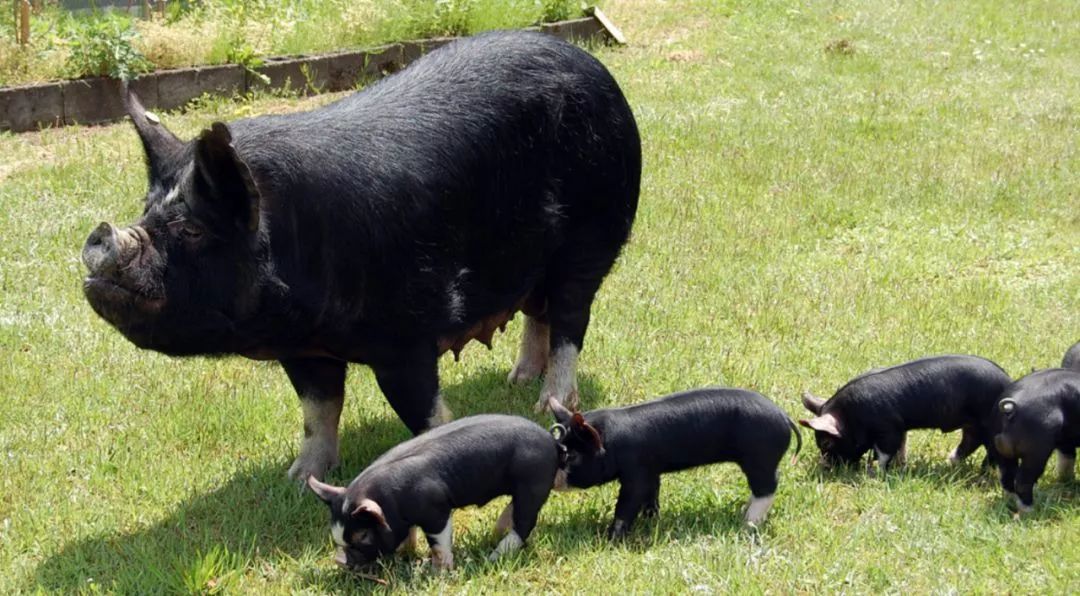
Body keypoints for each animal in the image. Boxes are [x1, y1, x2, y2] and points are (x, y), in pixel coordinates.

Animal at [86, 31, 639, 479]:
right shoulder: (303, 350)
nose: (100, 237)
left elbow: (422, 411)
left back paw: (547, 402)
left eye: (193, 229)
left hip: (590, 240)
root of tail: (595, 68)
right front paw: (297, 477)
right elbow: (318, 411)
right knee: (537, 311)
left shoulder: (409, 332)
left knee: (570, 321)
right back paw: (517, 379)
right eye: (147, 211)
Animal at [304, 414, 557, 570]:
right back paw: (496, 533)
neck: (391, 500)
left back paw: (494, 555)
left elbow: (438, 542)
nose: (339, 560)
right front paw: (406, 553)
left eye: (363, 536)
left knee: (525, 523)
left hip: (532, 484)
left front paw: (439, 571)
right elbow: (409, 533)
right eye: (337, 539)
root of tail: (552, 442)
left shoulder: (435, 509)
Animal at [552, 386, 799, 535]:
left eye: (572, 455)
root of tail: (785, 417)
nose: (553, 478)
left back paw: (747, 523)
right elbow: (652, 493)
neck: (610, 442)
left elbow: (628, 502)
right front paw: (651, 520)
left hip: (760, 457)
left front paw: (611, 537)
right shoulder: (651, 470)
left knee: (768, 486)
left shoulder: (635, 471)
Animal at [799, 356, 1015, 472]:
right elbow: (902, 445)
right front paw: (901, 466)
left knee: (992, 450)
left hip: (989, 424)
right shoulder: (900, 425)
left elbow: (886, 451)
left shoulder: (887, 426)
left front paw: (874, 472)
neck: (851, 414)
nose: (825, 467)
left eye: (826, 443)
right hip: (972, 424)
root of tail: (1008, 382)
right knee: (971, 441)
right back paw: (950, 462)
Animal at [993, 367, 1080, 511]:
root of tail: (1010, 410)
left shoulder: (1066, 442)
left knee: (1007, 476)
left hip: (998, 446)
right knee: (1023, 481)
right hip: (1036, 450)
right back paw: (1030, 510)